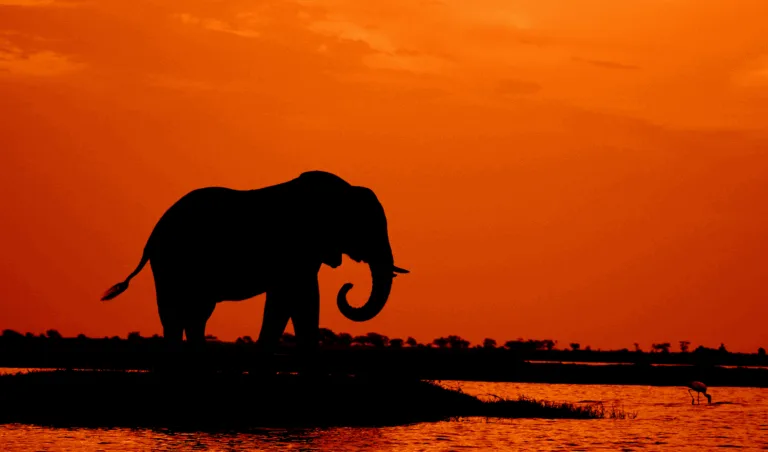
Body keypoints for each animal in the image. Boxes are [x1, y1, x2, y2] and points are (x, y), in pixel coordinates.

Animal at [100, 170, 409, 358]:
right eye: (366, 228)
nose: (348, 286)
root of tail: (153, 235)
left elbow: (292, 300)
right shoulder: (295, 247)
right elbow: (298, 297)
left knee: (196, 314)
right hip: (172, 262)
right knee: (176, 313)